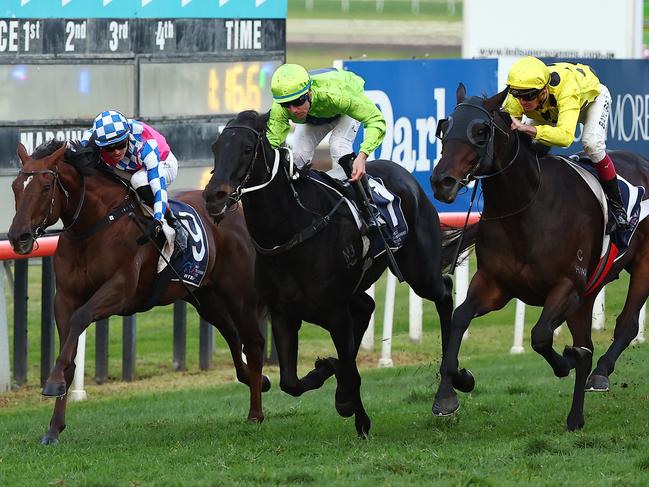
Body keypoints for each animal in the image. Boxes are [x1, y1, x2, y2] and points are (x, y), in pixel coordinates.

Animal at [8, 140, 266, 446]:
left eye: (46, 187)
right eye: (15, 186)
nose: (18, 237)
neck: (95, 225)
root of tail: (235, 211)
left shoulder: (121, 290)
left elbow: (81, 317)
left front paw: (52, 383)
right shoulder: (65, 298)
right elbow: (69, 354)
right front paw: (53, 428)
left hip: (239, 295)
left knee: (253, 343)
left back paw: (256, 413)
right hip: (205, 297)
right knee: (232, 335)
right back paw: (257, 381)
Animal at [204, 110, 456, 438]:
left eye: (247, 149)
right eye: (215, 148)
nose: (213, 196)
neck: (293, 229)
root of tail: (406, 176)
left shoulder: (335, 312)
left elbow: (350, 371)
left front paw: (359, 418)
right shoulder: (283, 313)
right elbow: (292, 383)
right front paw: (330, 376)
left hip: (420, 271)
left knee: (445, 291)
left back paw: (453, 383)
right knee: (367, 307)